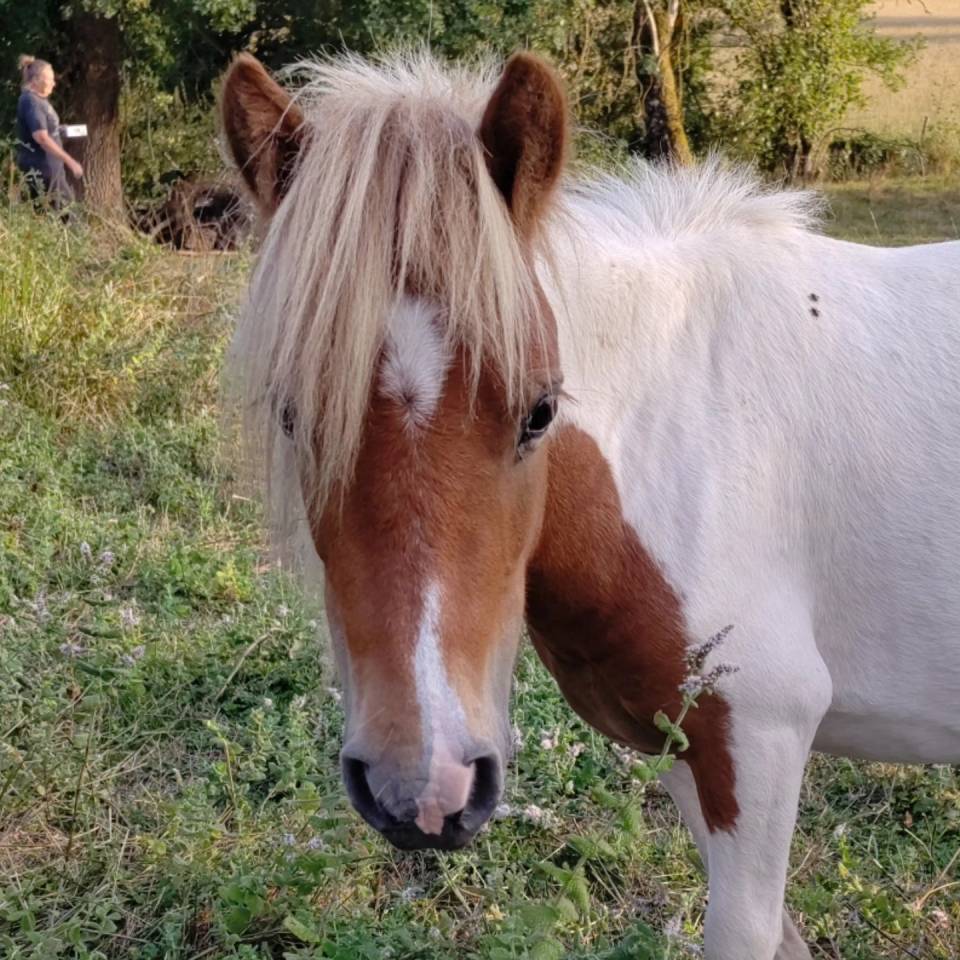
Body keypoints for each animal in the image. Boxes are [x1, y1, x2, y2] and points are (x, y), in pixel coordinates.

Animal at [220, 50, 960, 960]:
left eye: (541, 411)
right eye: (293, 415)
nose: (424, 786)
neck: (682, 426)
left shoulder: (760, 738)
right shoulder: (687, 750)